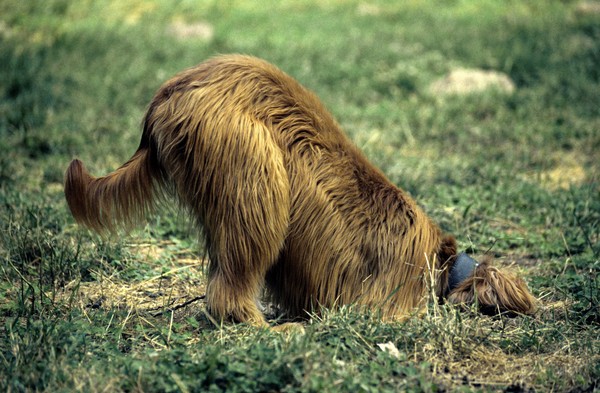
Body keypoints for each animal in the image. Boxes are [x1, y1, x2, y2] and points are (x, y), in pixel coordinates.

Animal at [63, 54, 536, 324]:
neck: (443, 263)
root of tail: (166, 94)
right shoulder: (390, 299)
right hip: (255, 175)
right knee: (228, 288)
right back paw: (262, 328)